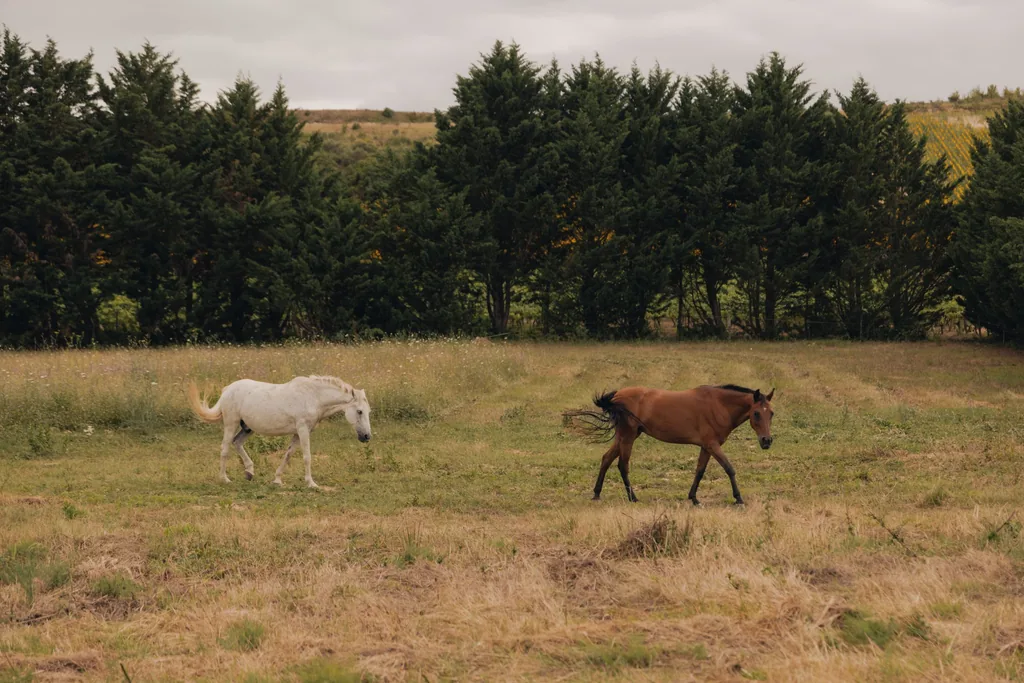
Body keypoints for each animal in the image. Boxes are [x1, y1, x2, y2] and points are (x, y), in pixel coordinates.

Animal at [187, 375, 372, 489]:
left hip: (247, 428)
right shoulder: (303, 430)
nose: (367, 436)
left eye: (368, 411)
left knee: (237, 443)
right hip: (231, 424)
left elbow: (288, 455)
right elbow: (307, 457)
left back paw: (249, 472)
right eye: (359, 411)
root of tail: (227, 390)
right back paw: (225, 479)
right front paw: (311, 483)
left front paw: (277, 480)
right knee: (225, 448)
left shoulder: (298, 433)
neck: (313, 396)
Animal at [564, 384, 775, 505]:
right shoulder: (713, 445)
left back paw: (597, 493)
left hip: (623, 437)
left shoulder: (706, 447)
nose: (767, 441)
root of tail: (617, 395)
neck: (719, 405)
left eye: (771, 413)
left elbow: (699, 471)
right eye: (756, 413)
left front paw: (694, 497)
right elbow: (729, 469)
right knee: (622, 466)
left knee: (606, 459)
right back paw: (633, 497)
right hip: (628, 437)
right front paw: (738, 498)